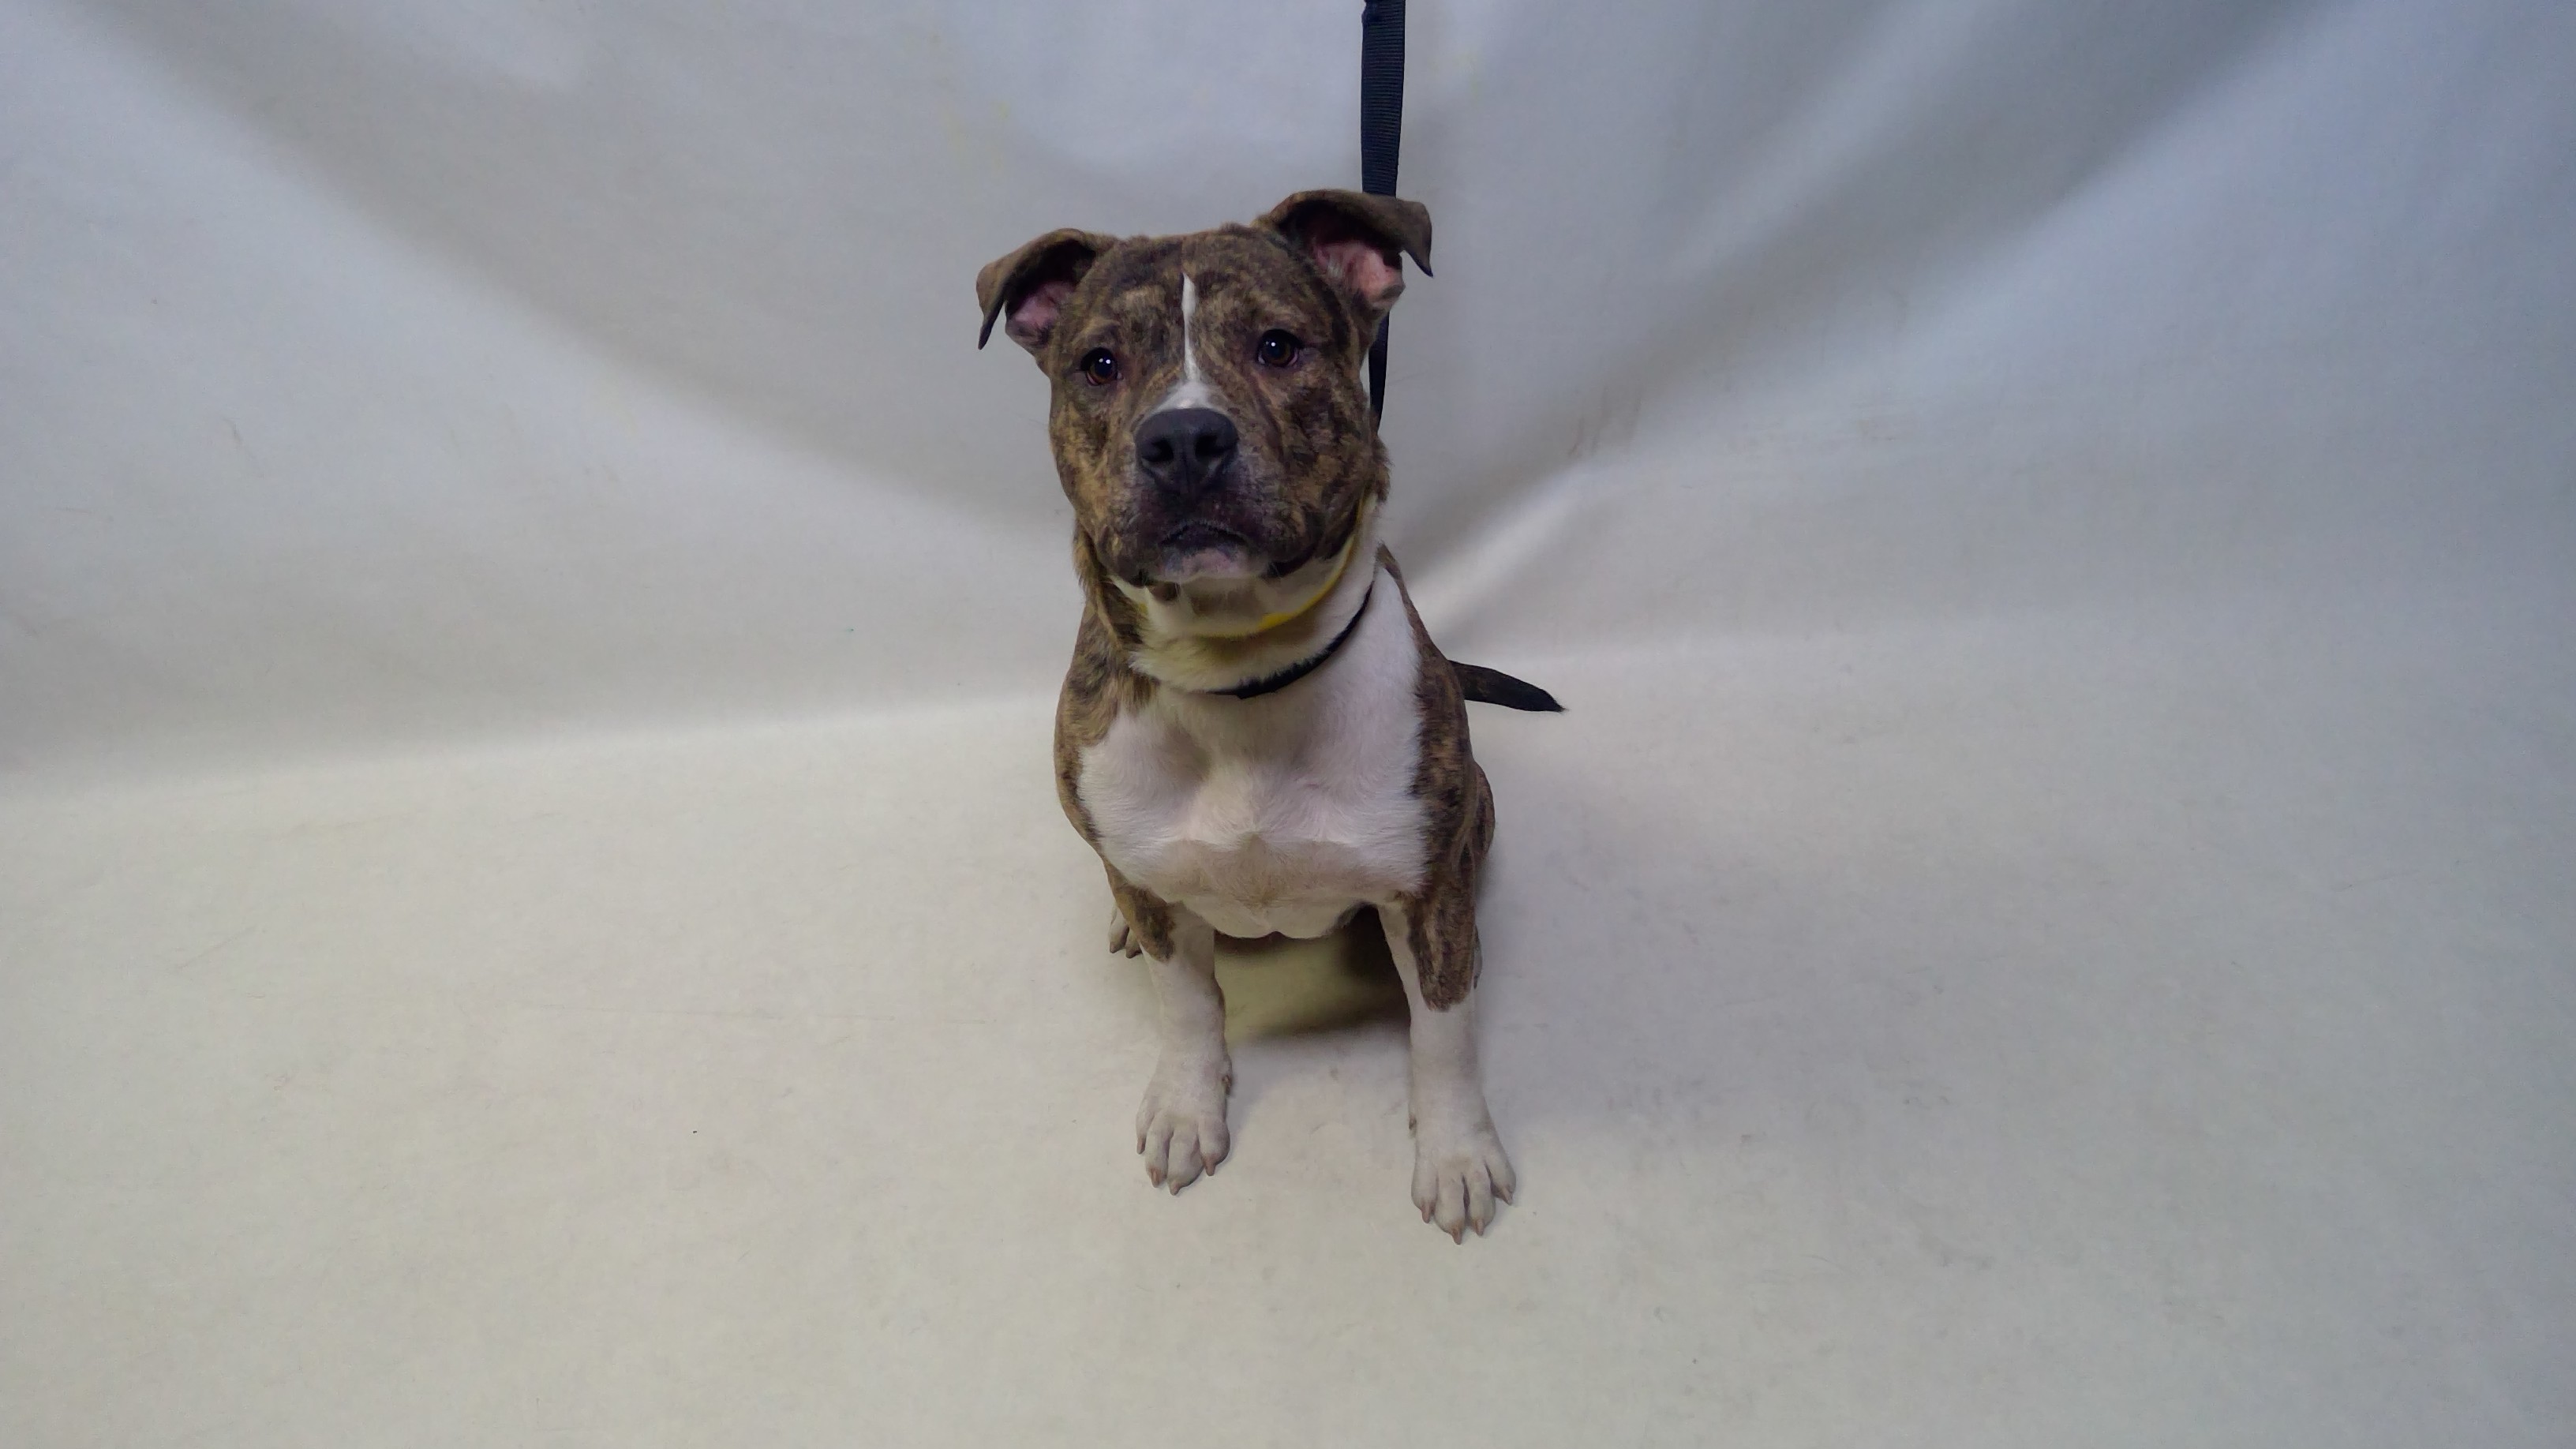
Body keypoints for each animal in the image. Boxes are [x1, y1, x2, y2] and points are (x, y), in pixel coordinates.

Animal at [976, 190, 1558, 1241]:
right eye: (1100, 364)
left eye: (1279, 346)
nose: (1182, 441)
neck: (1237, 680)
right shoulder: (1161, 895)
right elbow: (1187, 1005)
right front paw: (1186, 1105)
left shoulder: (1426, 897)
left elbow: (1443, 1032)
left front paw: (1456, 1151)